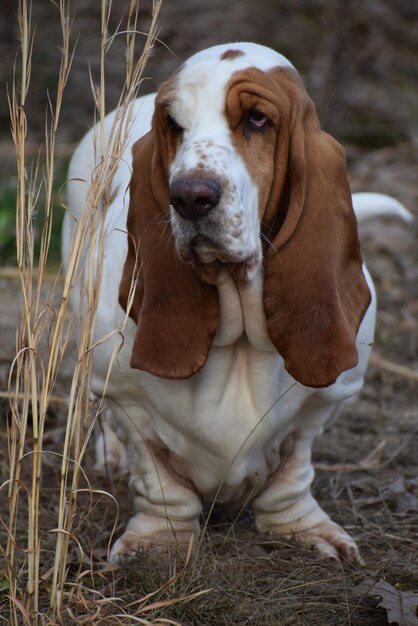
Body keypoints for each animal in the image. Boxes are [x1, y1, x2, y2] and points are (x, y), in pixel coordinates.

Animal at [63, 42, 410, 560]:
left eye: (257, 119)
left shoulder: (327, 401)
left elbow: (294, 469)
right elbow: (157, 474)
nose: (190, 197)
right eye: (173, 124)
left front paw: (303, 528)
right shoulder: (125, 395)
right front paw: (159, 540)